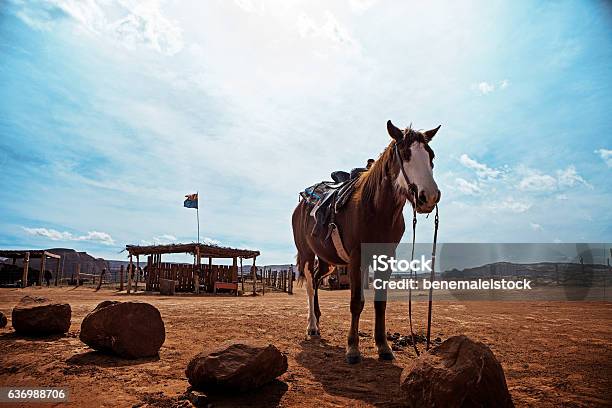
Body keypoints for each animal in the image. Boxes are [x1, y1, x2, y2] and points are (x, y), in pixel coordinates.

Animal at [292, 120, 440, 364]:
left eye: (431, 155)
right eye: (405, 154)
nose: (429, 196)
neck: (375, 209)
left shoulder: (385, 258)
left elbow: (380, 303)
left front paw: (383, 346)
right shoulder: (356, 258)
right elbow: (356, 302)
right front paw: (352, 348)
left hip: (326, 260)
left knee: (317, 278)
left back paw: (318, 320)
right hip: (306, 254)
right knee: (311, 285)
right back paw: (312, 326)